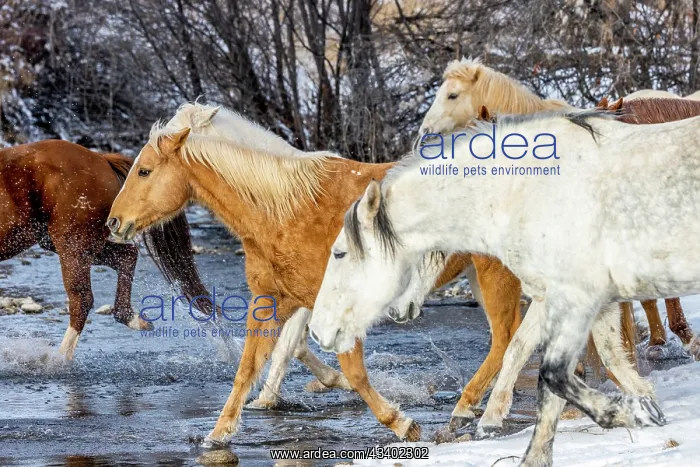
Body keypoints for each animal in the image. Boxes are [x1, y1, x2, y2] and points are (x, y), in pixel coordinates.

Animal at [0, 140, 214, 359]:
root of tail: (102, 159)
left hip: (72, 245)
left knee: (82, 299)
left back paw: (58, 360)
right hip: (69, 244)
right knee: (126, 256)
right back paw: (131, 318)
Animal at [105, 104, 530, 445]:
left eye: (144, 171)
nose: (114, 222)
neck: (286, 209)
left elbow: (351, 372)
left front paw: (402, 423)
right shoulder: (273, 301)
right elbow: (250, 368)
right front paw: (219, 433)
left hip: (497, 273)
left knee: (506, 337)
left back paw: (470, 410)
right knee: (511, 336)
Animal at [308, 110, 698, 466]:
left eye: (339, 253)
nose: (317, 330)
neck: (525, 193)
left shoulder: (574, 297)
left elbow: (552, 374)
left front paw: (632, 412)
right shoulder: (566, 297)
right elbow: (563, 358)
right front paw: (645, 403)